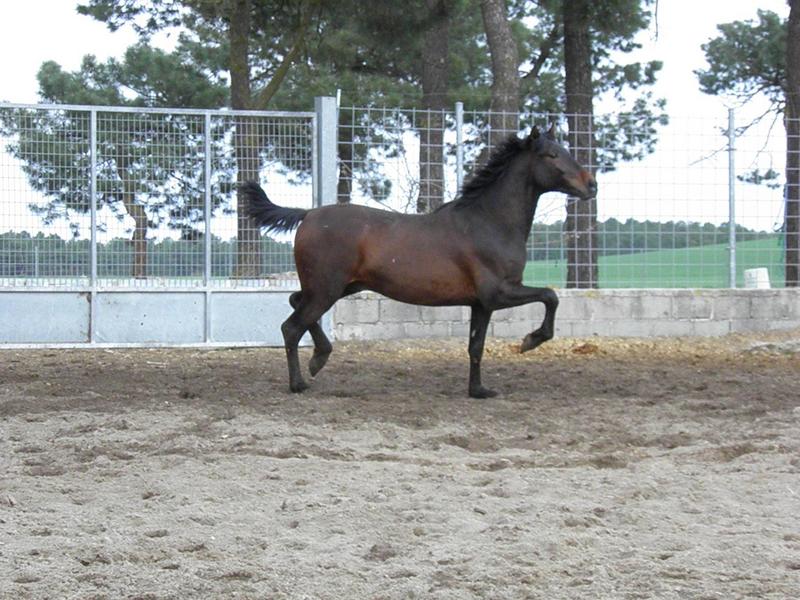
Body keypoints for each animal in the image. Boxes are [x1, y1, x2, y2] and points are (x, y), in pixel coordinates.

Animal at [243, 124, 597, 398]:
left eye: (565, 150)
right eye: (551, 155)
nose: (591, 185)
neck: (489, 222)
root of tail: (307, 214)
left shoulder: (481, 304)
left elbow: (476, 346)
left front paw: (479, 391)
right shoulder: (499, 293)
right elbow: (550, 295)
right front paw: (530, 341)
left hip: (338, 287)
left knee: (295, 303)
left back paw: (319, 358)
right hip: (327, 289)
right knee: (291, 327)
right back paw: (301, 382)